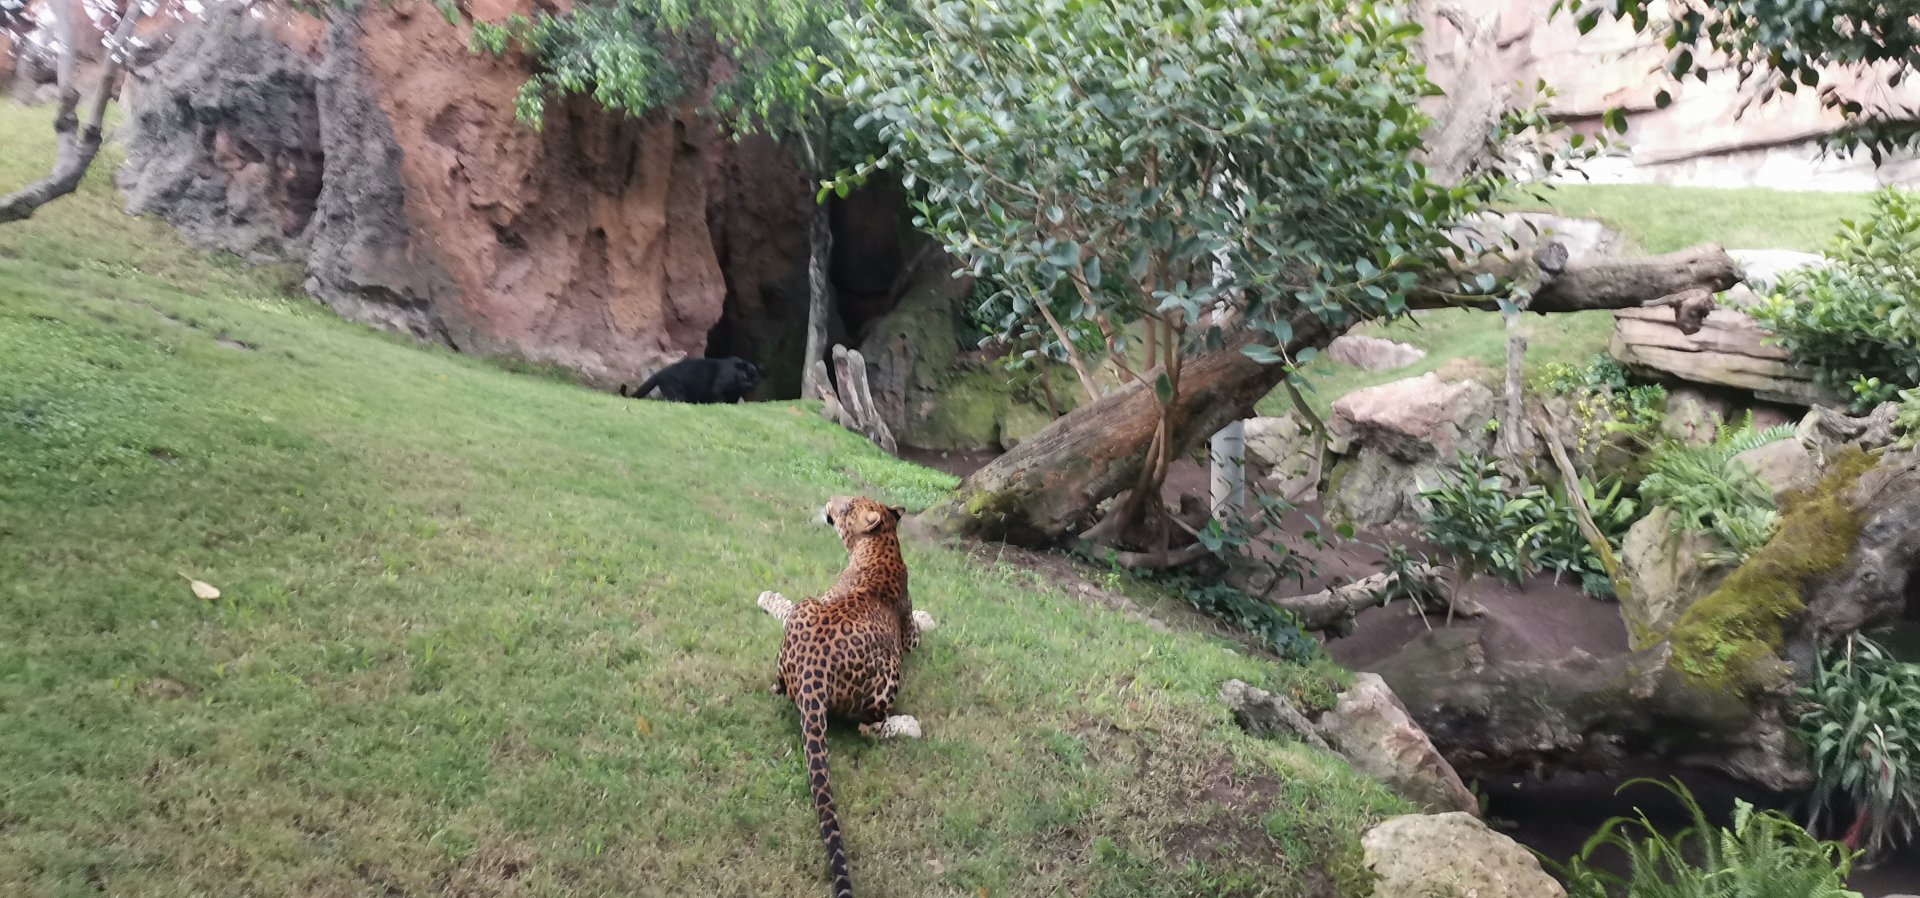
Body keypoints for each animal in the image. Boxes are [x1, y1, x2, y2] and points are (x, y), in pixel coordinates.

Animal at [754, 496, 936, 898]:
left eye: (849, 504)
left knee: (862, 726)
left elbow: (785, 606)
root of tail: (813, 674)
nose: (830, 500)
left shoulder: (902, 639)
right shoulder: (906, 639)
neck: (883, 543)